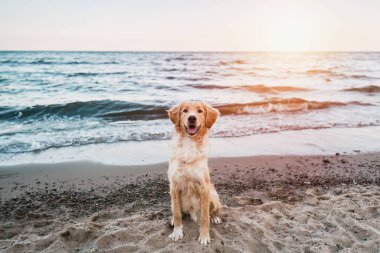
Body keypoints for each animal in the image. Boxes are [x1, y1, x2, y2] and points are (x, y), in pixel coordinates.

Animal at [167, 101, 223, 245]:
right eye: (185, 110)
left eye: (200, 111)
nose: (191, 118)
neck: (189, 144)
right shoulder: (174, 187)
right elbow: (177, 213)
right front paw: (177, 232)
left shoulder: (204, 188)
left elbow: (204, 217)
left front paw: (204, 236)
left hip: (213, 195)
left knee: (214, 210)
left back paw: (215, 217)